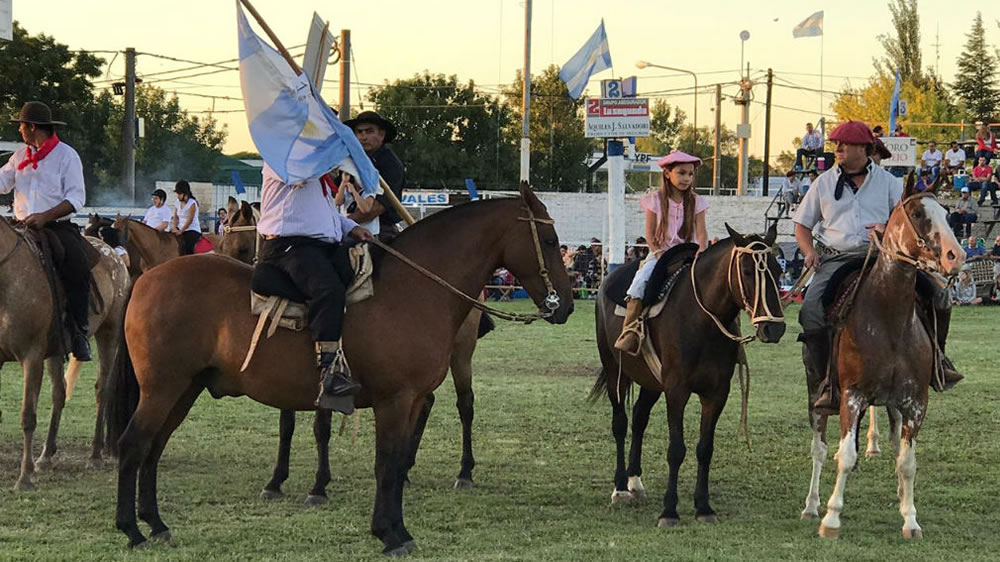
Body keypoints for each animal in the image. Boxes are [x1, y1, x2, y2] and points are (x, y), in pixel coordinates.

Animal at [0, 217, 130, 488]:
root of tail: (114, 254)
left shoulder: (32, 357)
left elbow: (28, 416)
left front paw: (24, 478)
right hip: (55, 351)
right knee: (59, 393)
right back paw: (45, 456)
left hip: (109, 334)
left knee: (102, 389)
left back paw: (95, 454)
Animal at [102, 183, 576, 552]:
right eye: (550, 240)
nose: (566, 306)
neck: (414, 289)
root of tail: (145, 280)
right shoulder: (393, 401)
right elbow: (385, 463)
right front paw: (388, 534)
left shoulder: (411, 400)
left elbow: (395, 462)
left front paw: (397, 529)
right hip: (163, 388)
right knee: (134, 445)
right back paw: (133, 531)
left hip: (184, 390)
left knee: (153, 448)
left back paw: (156, 524)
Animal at [588, 223, 784, 524]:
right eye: (748, 271)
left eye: (777, 270)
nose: (775, 328)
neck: (701, 321)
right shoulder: (676, 390)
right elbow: (676, 450)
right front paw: (669, 510)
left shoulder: (716, 393)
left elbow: (705, 449)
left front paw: (703, 507)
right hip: (614, 372)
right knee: (620, 423)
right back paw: (620, 487)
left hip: (651, 381)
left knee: (639, 418)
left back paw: (635, 481)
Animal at [800, 177, 964, 536]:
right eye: (917, 213)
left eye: (947, 213)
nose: (955, 256)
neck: (889, 320)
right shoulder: (851, 396)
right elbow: (844, 456)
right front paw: (831, 518)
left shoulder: (915, 402)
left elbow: (907, 461)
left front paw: (910, 518)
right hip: (816, 393)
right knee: (820, 448)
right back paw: (812, 505)